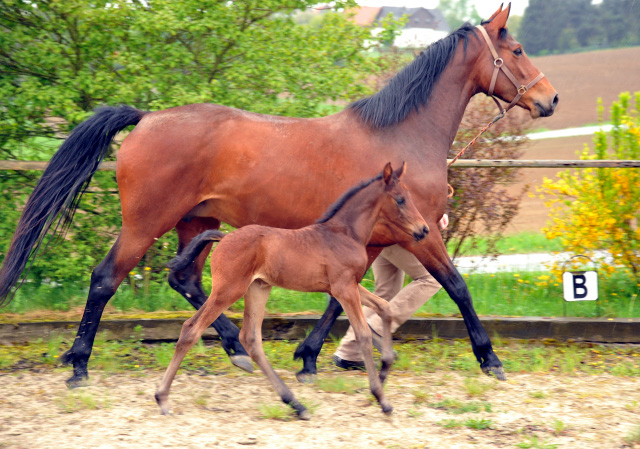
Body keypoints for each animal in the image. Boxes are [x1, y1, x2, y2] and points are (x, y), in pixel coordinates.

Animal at [152, 163, 428, 418]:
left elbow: (385, 307)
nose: (423, 229)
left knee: (251, 338)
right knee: (192, 329)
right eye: (400, 199)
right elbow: (363, 334)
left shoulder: (348, 285)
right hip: (229, 289)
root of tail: (224, 237)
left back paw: (295, 404)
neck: (344, 233)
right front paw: (381, 397)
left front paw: (385, 369)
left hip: (257, 288)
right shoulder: (344, 288)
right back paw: (162, 397)